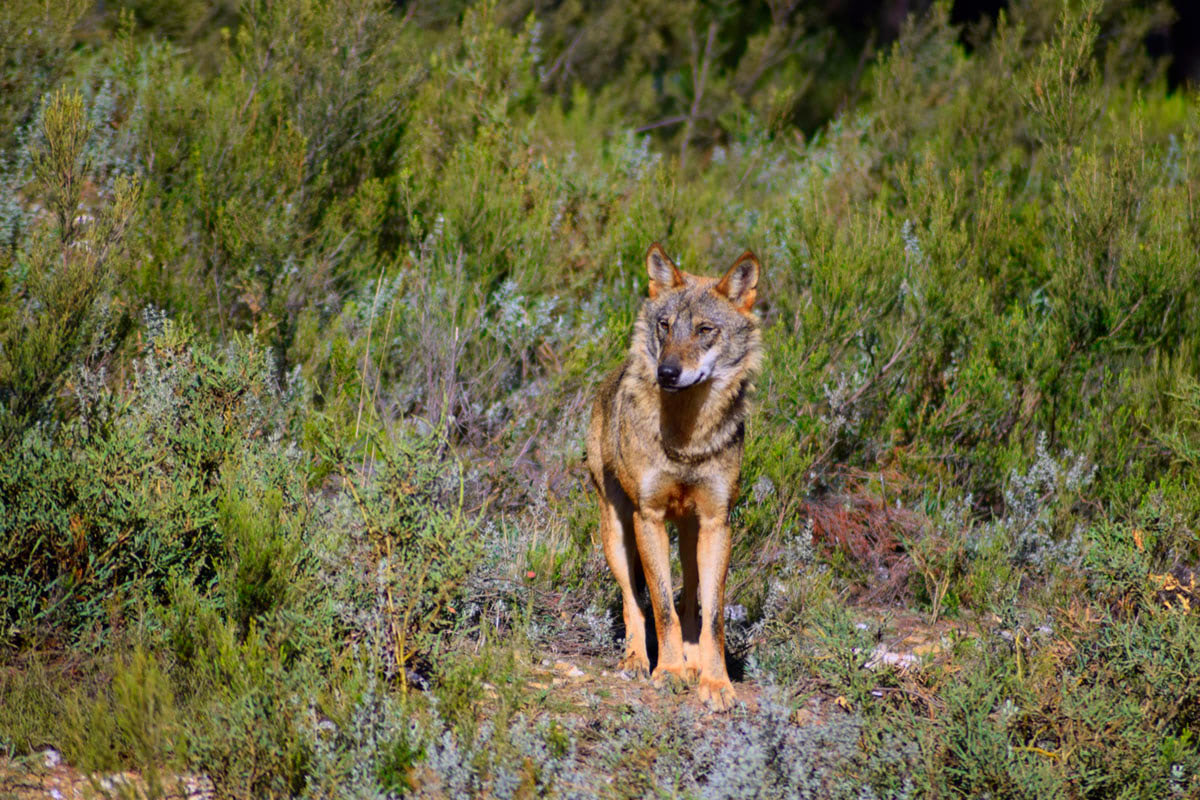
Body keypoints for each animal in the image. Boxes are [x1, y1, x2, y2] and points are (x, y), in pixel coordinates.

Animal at [586, 242, 762, 711]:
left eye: (704, 330)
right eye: (665, 326)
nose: (666, 373)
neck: (687, 441)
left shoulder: (718, 522)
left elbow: (712, 616)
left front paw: (715, 682)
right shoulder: (648, 517)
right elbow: (661, 606)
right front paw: (667, 672)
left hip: (690, 532)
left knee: (691, 603)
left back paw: (692, 658)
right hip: (617, 533)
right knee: (634, 601)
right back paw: (635, 660)